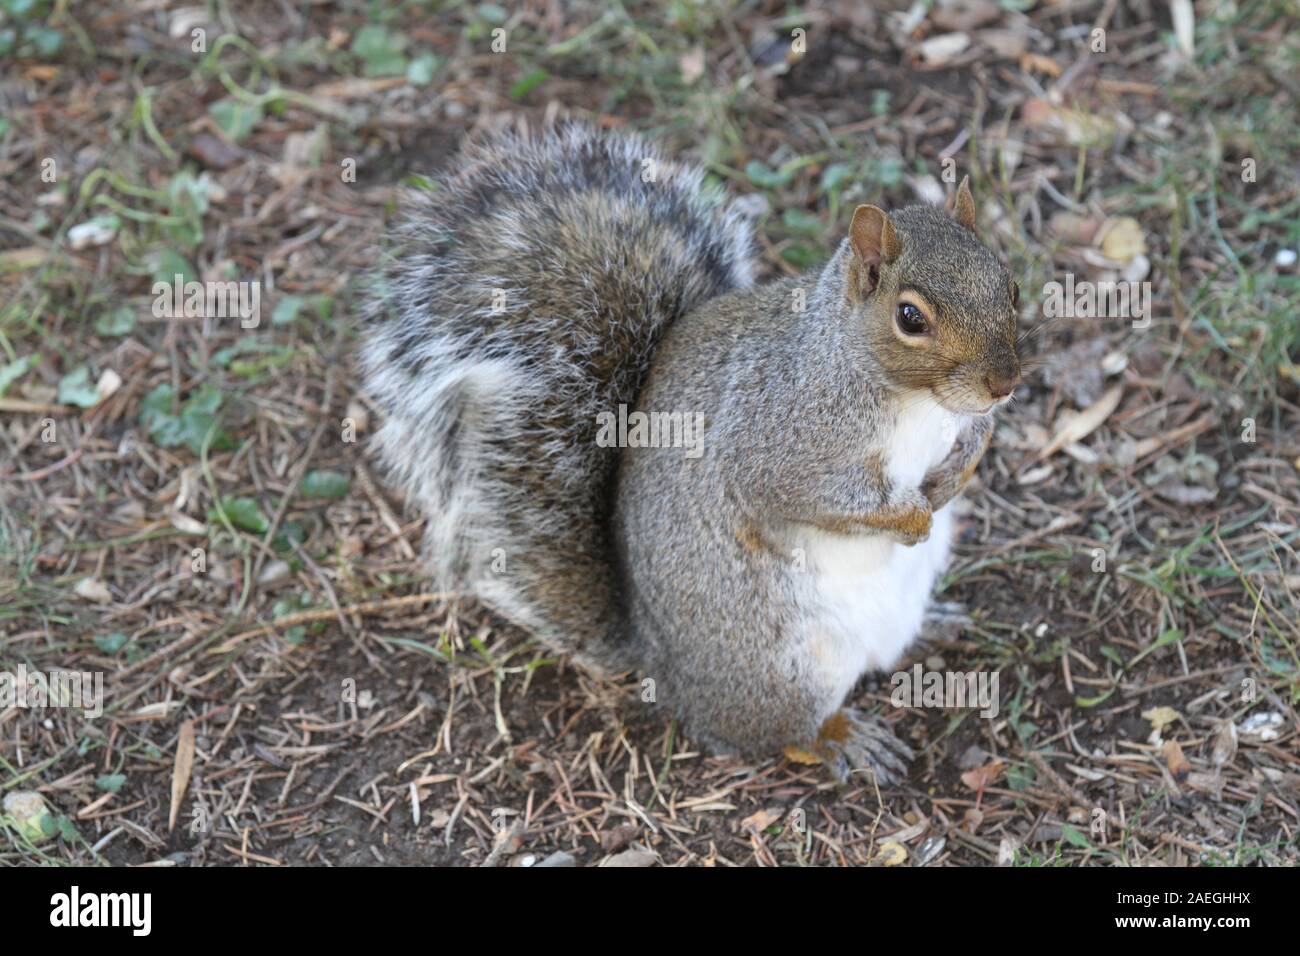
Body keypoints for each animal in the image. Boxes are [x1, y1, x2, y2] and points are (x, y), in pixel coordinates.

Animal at [360, 124, 1021, 783]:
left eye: (1010, 284)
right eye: (910, 317)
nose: (1004, 383)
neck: (919, 401)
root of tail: (660, 661)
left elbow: (974, 438)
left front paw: (954, 477)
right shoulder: (782, 438)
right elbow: (809, 493)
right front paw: (910, 516)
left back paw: (935, 626)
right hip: (782, 668)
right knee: (780, 732)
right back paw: (842, 737)